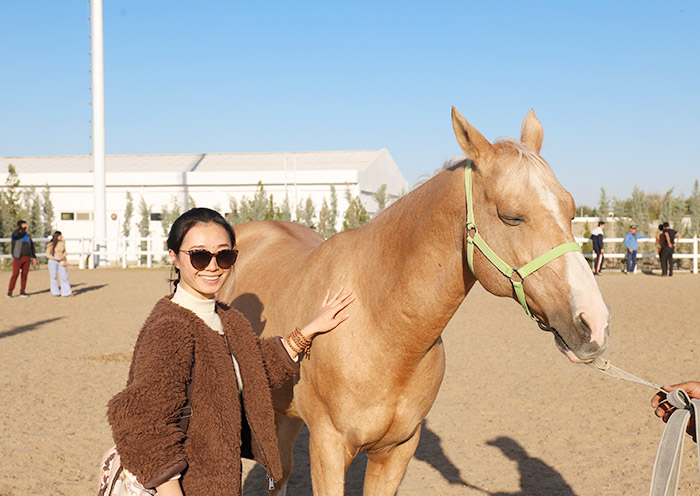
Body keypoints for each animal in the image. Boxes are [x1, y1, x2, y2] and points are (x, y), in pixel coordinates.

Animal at [219, 107, 611, 495]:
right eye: (511, 216)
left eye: (571, 210)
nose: (594, 323)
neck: (381, 326)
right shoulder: (327, 448)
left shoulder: (397, 450)